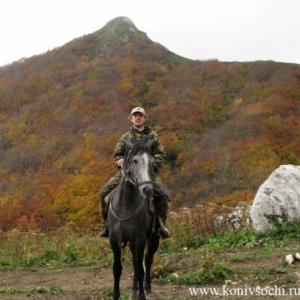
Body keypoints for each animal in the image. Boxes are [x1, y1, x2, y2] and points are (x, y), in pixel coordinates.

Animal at [107, 140, 161, 300]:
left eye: (152, 162)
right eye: (134, 161)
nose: (147, 190)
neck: (125, 204)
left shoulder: (140, 239)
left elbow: (140, 268)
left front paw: (142, 296)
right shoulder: (114, 239)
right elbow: (117, 268)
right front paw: (116, 295)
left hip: (153, 239)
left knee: (147, 261)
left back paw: (147, 289)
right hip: (131, 243)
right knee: (134, 262)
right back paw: (134, 289)